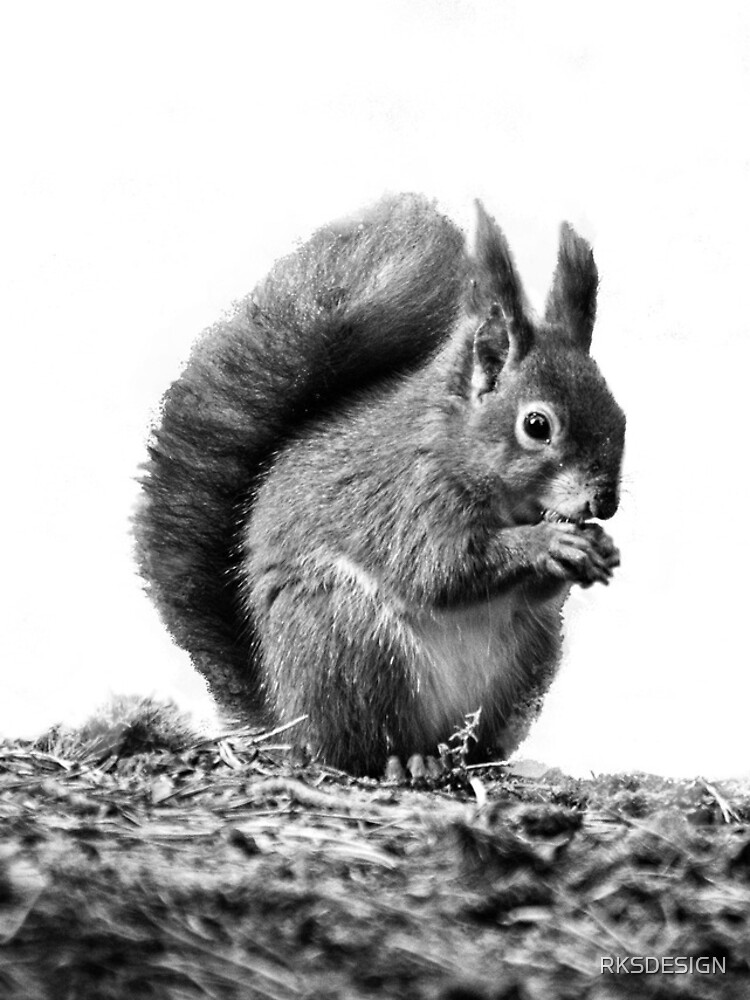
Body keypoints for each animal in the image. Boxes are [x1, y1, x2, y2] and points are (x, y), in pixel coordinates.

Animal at [134, 193, 625, 777]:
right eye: (537, 425)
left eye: (620, 415)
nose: (605, 502)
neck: (453, 446)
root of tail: (283, 718)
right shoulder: (406, 501)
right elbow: (442, 569)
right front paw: (547, 543)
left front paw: (595, 547)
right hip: (350, 641)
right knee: (358, 745)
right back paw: (405, 762)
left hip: (525, 657)